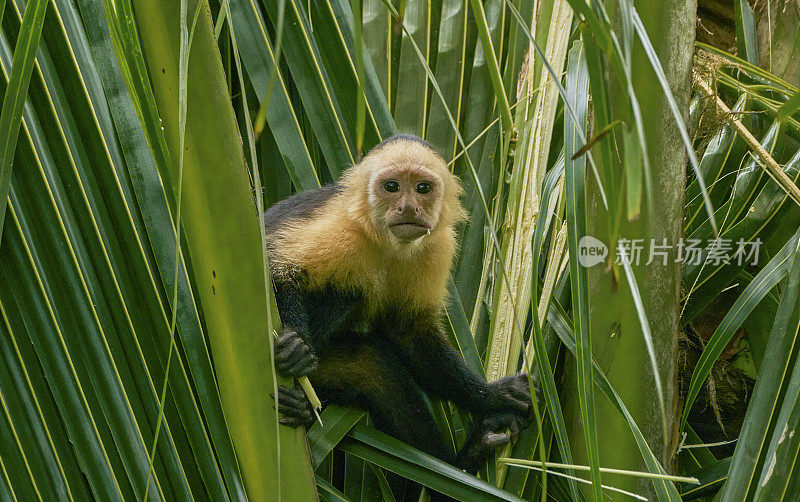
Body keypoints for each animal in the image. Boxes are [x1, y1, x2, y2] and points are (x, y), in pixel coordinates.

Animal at [264, 134, 536, 478]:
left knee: (376, 371)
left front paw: (493, 396)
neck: (383, 241)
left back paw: (461, 464)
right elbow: (276, 268)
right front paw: (294, 346)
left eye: (422, 188)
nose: (408, 207)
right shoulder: (339, 227)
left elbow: (410, 334)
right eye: (391, 186)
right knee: (347, 289)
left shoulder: (436, 247)